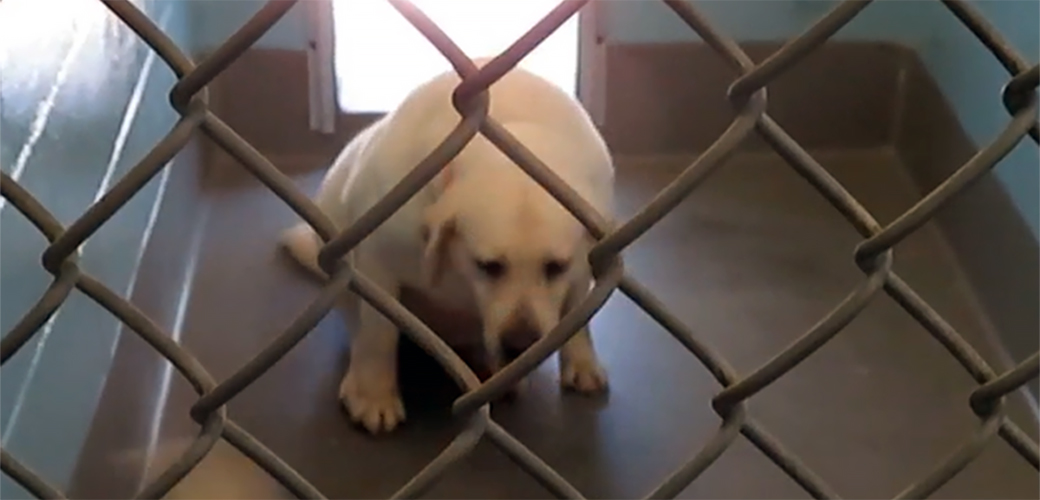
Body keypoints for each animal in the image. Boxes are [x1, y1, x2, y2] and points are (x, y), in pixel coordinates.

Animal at [280, 58, 611, 432]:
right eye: (488, 266)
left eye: (555, 267)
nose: (520, 344)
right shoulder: (378, 264)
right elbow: (379, 334)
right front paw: (374, 395)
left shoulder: (580, 268)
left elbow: (578, 313)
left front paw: (582, 362)